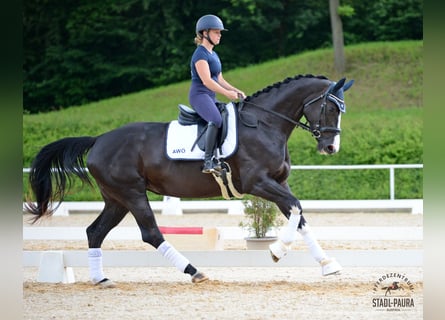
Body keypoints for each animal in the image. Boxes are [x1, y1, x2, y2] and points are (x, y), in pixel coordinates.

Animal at [26, 74, 354, 284]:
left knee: (95, 232)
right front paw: (277, 251)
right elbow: (297, 208)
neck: (265, 124)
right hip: (132, 193)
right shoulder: (258, 183)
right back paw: (195, 272)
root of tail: (98, 140)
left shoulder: (278, 183)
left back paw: (100, 278)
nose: (330, 148)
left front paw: (328, 264)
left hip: (116, 199)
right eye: (330, 107)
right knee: (151, 233)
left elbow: (300, 217)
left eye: (341, 109)